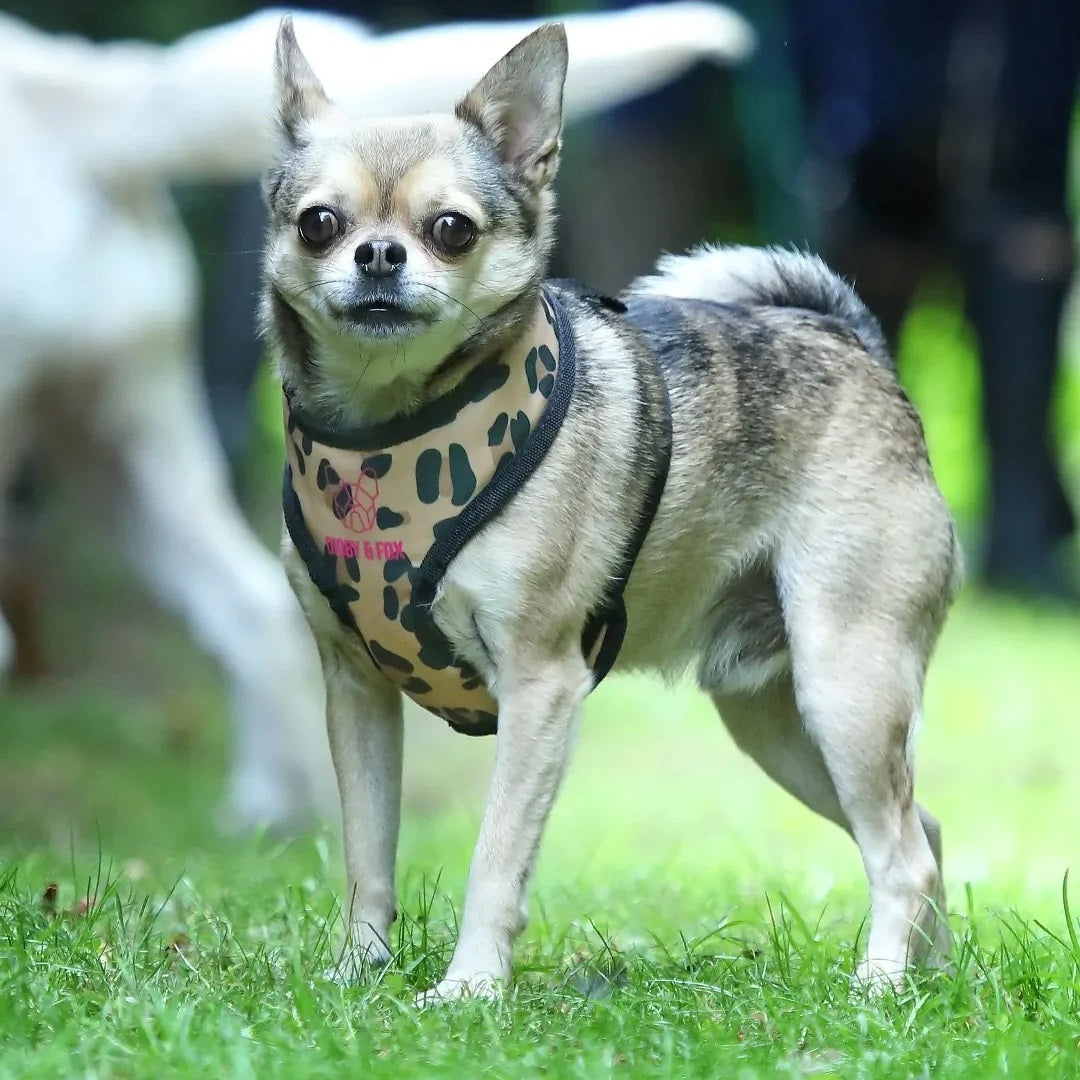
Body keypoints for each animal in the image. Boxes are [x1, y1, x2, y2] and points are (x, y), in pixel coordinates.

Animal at [265, 16, 967, 997]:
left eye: (451, 230)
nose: (377, 253)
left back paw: (878, 984)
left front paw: (470, 988)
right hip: (779, 724)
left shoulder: (540, 690)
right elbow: (368, 850)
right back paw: (924, 985)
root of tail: (854, 342)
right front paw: (357, 974)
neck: (389, 427)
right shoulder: (358, 692)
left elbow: (495, 858)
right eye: (320, 224)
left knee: (900, 849)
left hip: (846, 688)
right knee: (922, 831)